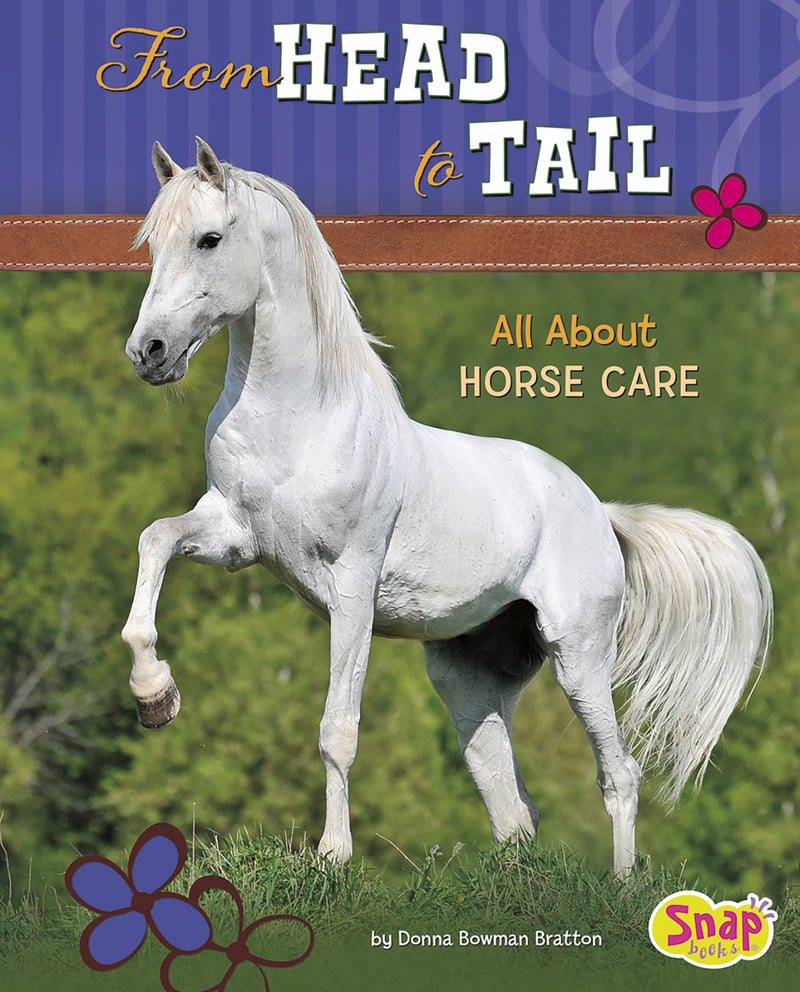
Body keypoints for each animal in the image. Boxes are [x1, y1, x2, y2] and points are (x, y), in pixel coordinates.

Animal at [122, 138, 772, 878]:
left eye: (209, 239)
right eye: (152, 244)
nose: (147, 353)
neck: (299, 417)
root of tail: (601, 513)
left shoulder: (352, 585)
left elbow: (337, 729)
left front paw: (333, 858)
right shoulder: (235, 537)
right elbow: (154, 540)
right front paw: (155, 695)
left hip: (579, 656)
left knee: (620, 775)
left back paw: (626, 887)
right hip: (470, 677)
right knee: (512, 805)